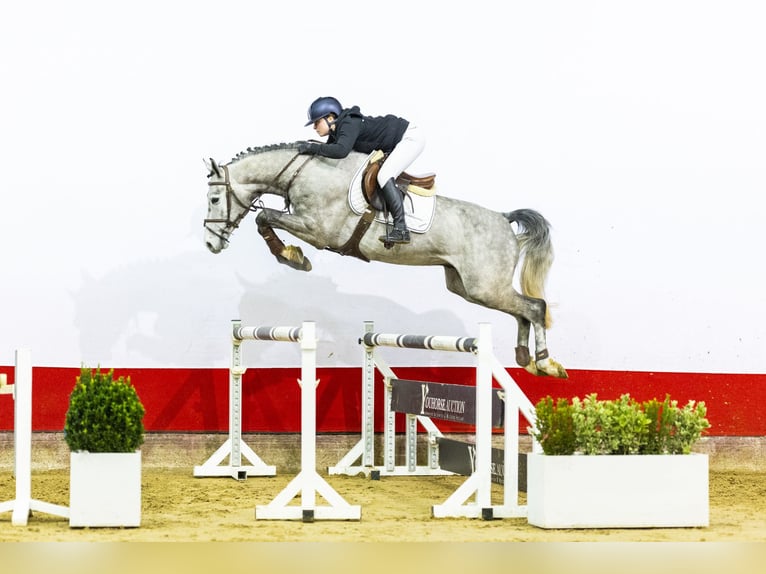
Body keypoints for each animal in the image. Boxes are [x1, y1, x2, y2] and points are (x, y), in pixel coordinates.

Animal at [204, 142, 568, 380]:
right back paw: (526, 359)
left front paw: (293, 257)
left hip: (484, 286)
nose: (210, 243)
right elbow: (264, 218)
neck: (305, 173)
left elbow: (264, 216)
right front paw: (291, 256)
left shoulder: (318, 230)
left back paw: (546, 364)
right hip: (467, 286)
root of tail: (504, 219)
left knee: (534, 307)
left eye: (214, 199)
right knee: (521, 310)